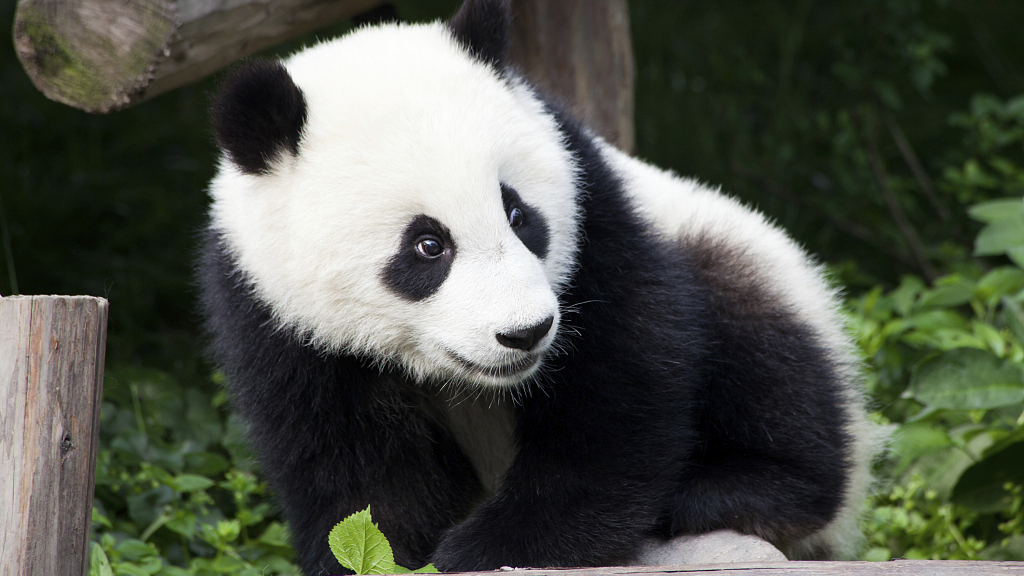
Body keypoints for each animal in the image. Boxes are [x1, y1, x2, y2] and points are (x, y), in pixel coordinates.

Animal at [198, 0, 881, 573]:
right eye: (428, 246)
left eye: (518, 214)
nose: (525, 333)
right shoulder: (269, 311)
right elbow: (353, 474)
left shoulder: (595, 207)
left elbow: (620, 384)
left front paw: (493, 547)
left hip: (729, 248)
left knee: (771, 361)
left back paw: (726, 489)